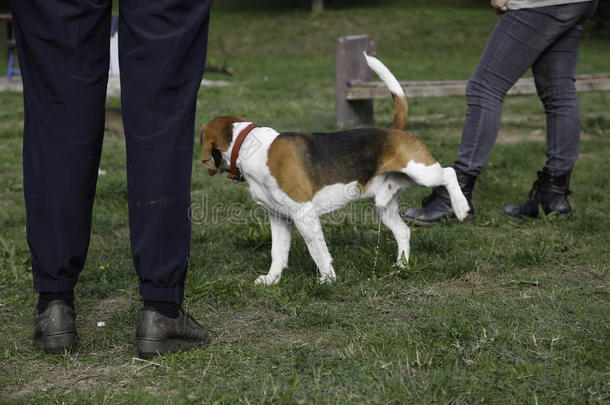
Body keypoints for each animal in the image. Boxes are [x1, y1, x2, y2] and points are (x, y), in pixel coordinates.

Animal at [198, 54, 466, 284]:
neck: (247, 146)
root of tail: (394, 130)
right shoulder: (278, 216)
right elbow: (278, 252)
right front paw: (272, 280)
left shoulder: (303, 213)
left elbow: (317, 250)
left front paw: (327, 280)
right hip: (384, 203)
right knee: (403, 232)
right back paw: (401, 267)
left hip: (422, 172)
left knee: (449, 173)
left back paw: (462, 207)